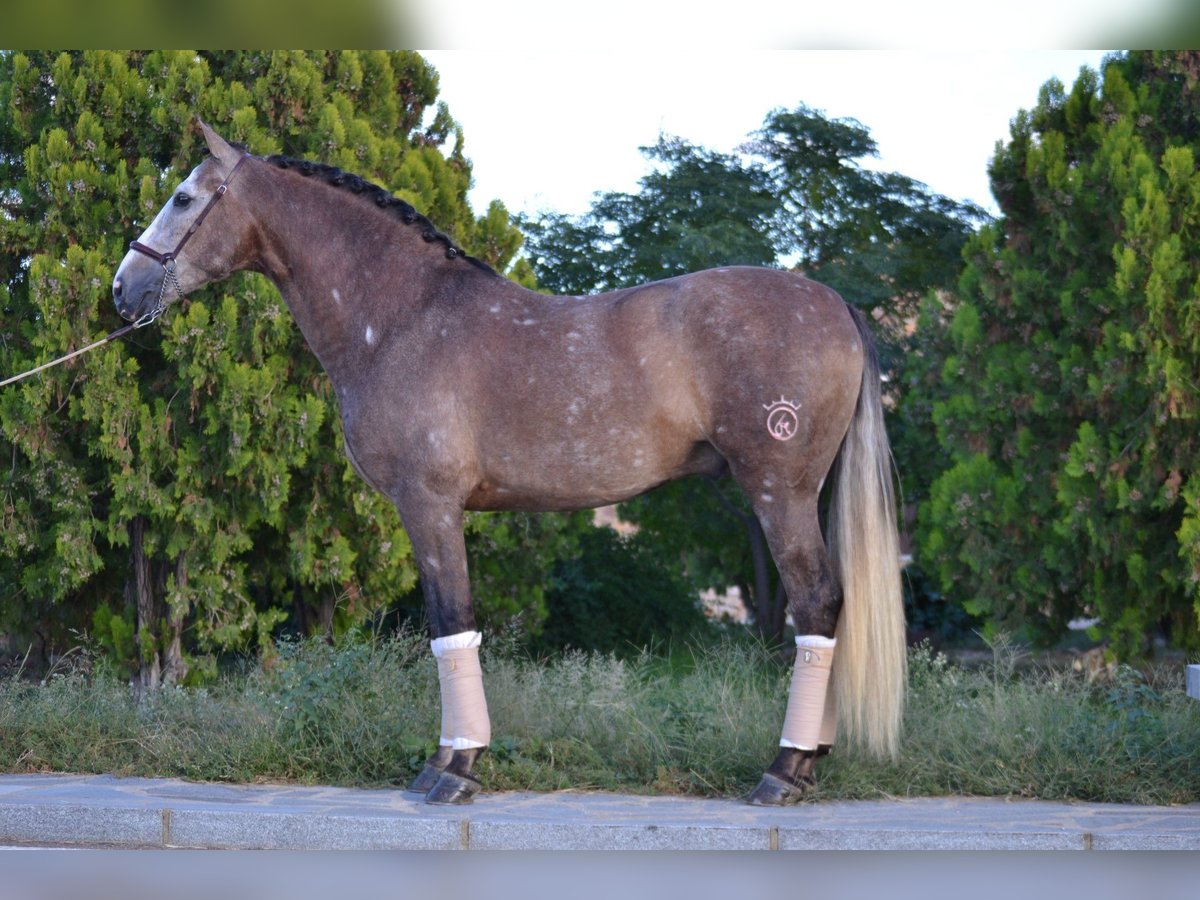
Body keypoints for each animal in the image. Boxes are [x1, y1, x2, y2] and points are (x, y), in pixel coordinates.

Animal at [112, 121, 906, 806]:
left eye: (182, 197)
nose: (122, 289)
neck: (403, 317)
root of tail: (836, 304)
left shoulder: (429, 505)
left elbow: (450, 624)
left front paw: (453, 768)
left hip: (780, 491)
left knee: (816, 604)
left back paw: (783, 771)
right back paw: (808, 761)